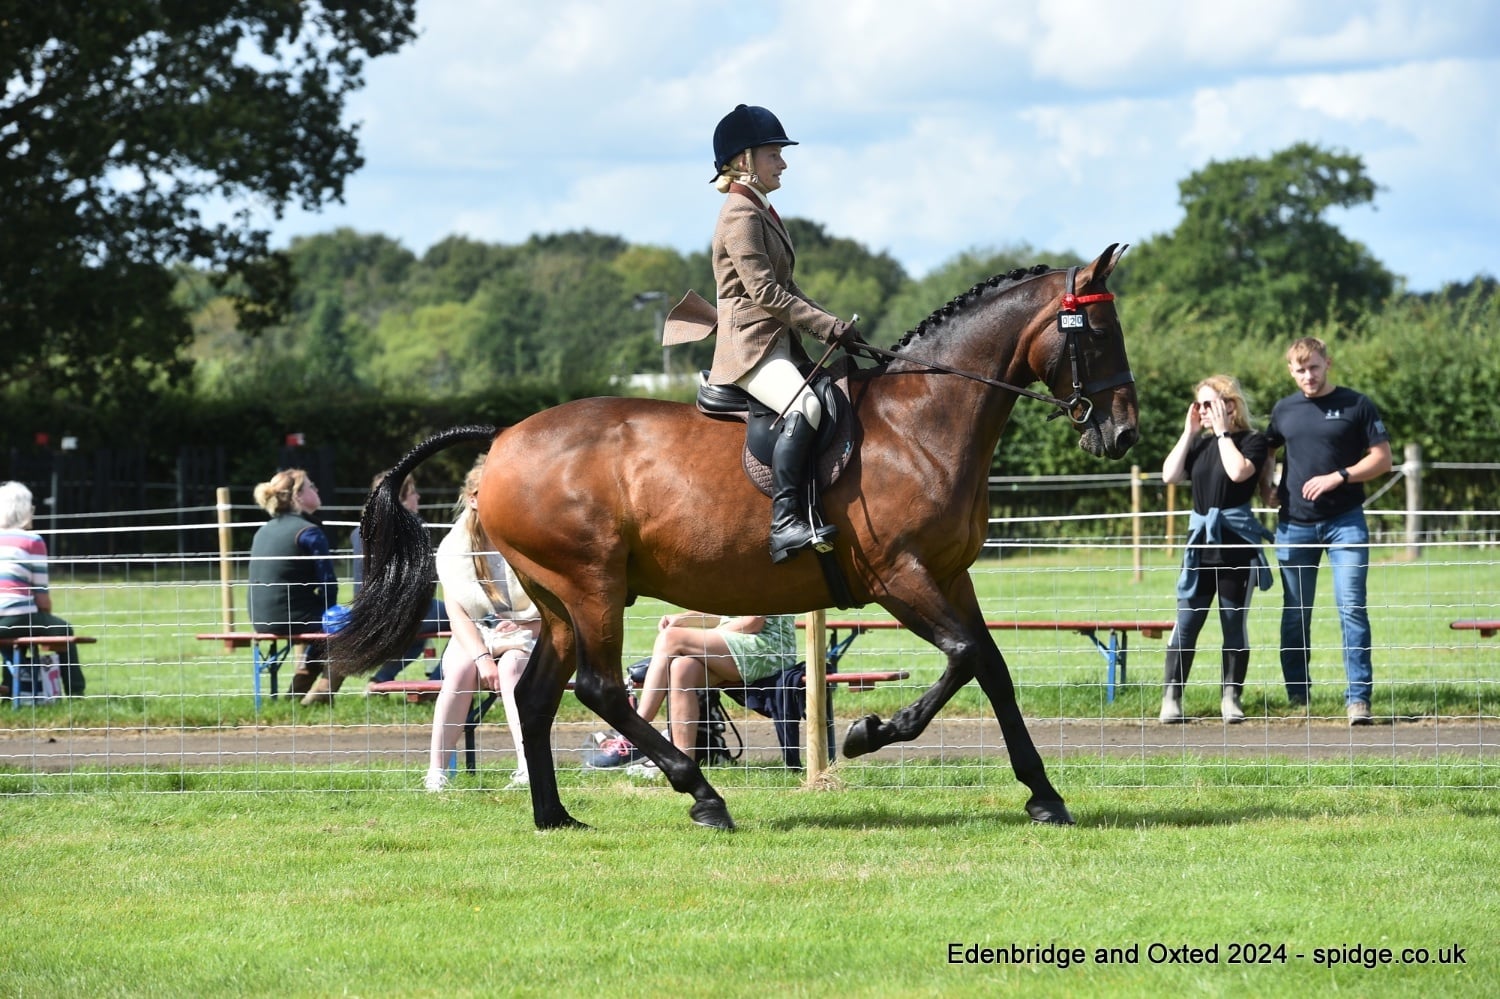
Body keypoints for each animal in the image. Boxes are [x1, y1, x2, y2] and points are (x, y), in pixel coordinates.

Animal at [333, 243, 1138, 831]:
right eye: (1098, 334)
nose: (1123, 432)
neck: (922, 422)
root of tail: (502, 440)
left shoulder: (949, 575)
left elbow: (990, 666)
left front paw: (1044, 795)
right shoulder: (899, 575)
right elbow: (967, 657)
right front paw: (868, 732)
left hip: (557, 601)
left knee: (535, 694)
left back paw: (555, 816)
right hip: (591, 588)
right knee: (598, 687)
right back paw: (702, 796)